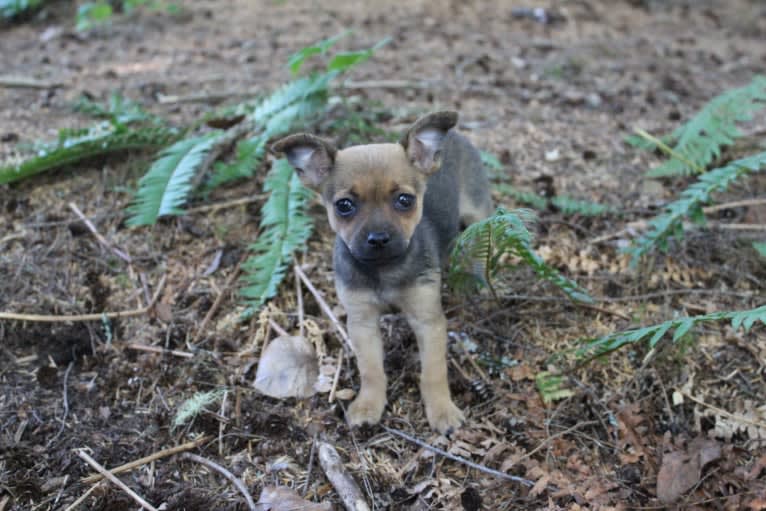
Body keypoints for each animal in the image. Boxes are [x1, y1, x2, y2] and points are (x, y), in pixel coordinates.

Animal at [272, 112, 496, 436]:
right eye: (344, 205)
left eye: (404, 200)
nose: (378, 238)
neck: (383, 269)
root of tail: (454, 136)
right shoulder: (362, 323)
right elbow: (371, 370)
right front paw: (369, 405)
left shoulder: (428, 322)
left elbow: (434, 371)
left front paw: (442, 410)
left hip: (479, 213)